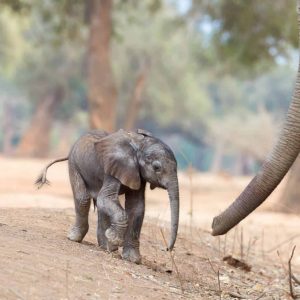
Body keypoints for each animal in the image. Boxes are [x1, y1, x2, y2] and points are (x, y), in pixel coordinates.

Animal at [36, 128, 179, 262]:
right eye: (156, 167)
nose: (166, 249)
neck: (139, 144)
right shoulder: (115, 165)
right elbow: (106, 198)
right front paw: (113, 238)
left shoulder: (137, 173)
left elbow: (136, 207)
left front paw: (132, 259)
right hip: (74, 163)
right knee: (83, 199)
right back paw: (74, 238)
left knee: (100, 206)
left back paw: (106, 247)